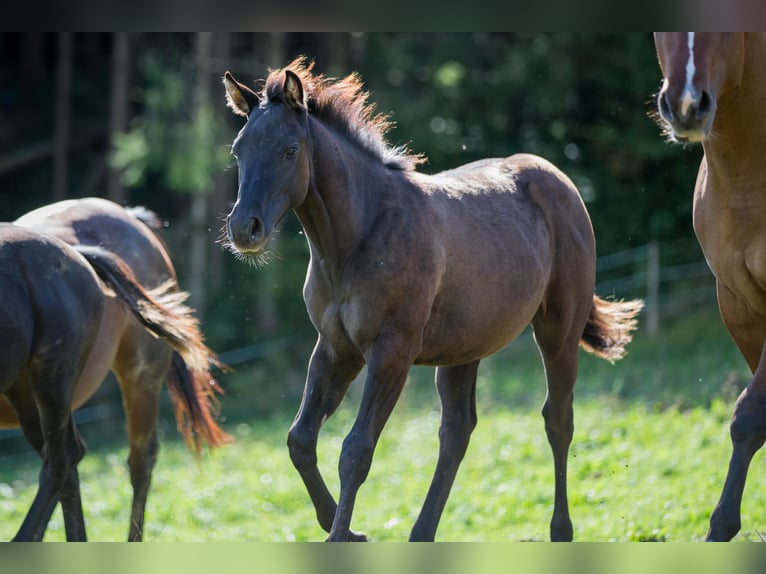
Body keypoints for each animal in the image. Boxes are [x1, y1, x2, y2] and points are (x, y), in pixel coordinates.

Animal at [225, 59, 644, 544]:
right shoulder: (335, 349)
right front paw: (342, 528)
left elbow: (356, 451)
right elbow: (301, 439)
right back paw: (422, 532)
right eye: (238, 150)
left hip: (558, 331)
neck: (360, 235)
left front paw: (342, 534)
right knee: (457, 431)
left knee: (558, 420)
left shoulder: (392, 351)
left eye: (290, 150)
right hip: (465, 350)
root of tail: (560, 182)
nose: (244, 229)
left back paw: (560, 529)